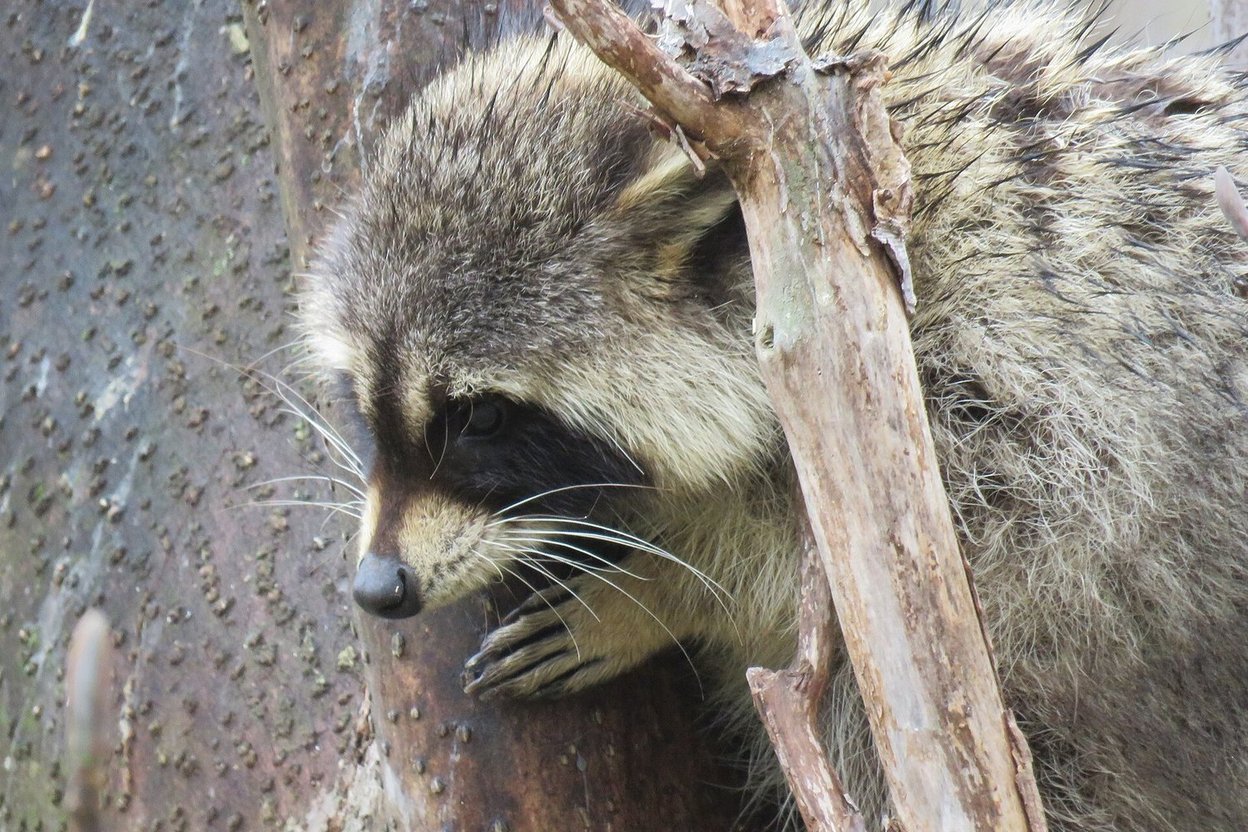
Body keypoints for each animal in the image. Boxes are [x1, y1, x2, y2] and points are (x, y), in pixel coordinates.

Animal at [300, 1, 1248, 829]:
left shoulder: (1005, 378)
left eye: (483, 418)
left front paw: (662, 591)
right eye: (363, 395)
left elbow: (970, 564)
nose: (379, 588)